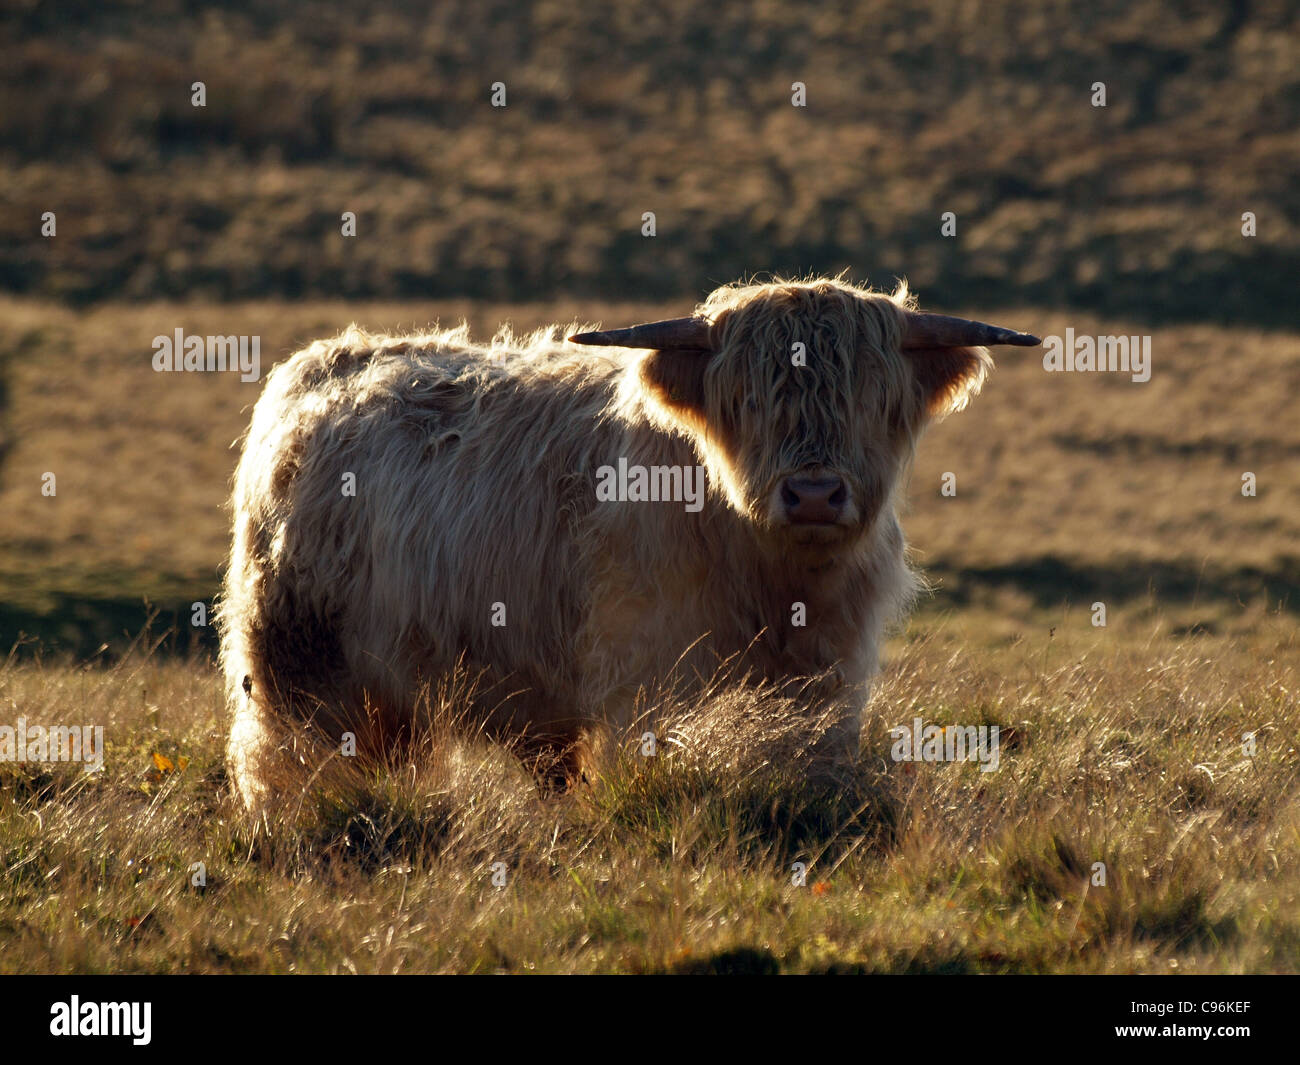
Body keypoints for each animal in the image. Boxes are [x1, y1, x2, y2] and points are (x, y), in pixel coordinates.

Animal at [217, 276, 1037, 812]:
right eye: (746, 399)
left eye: (874, 395)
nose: (813, 494)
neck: (776, 581)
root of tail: (321, 364)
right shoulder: (649, 673)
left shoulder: (833, 674)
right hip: (300, 667)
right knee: (293, 761)